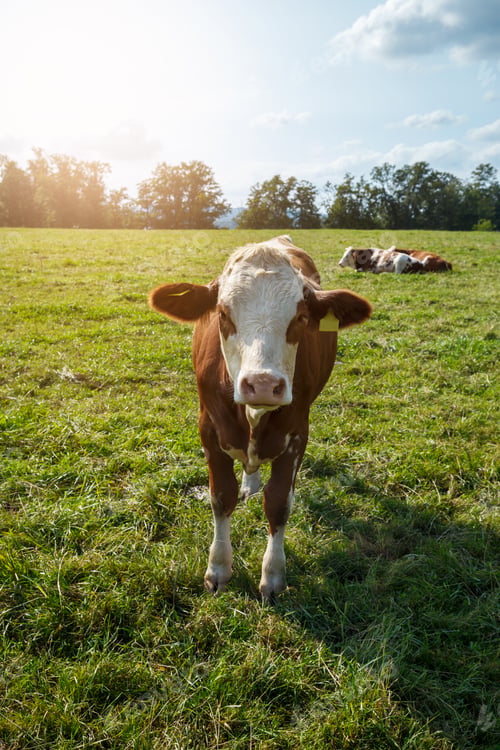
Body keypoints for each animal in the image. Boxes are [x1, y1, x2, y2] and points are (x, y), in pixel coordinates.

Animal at [149, 235, 372, 600]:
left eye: (300, 317)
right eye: (223, 314)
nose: (263, 384)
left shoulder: (297, 434)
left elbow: (279, 502)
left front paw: (273, 575)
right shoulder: (209, 430)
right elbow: (220, 497)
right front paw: (218, 568)